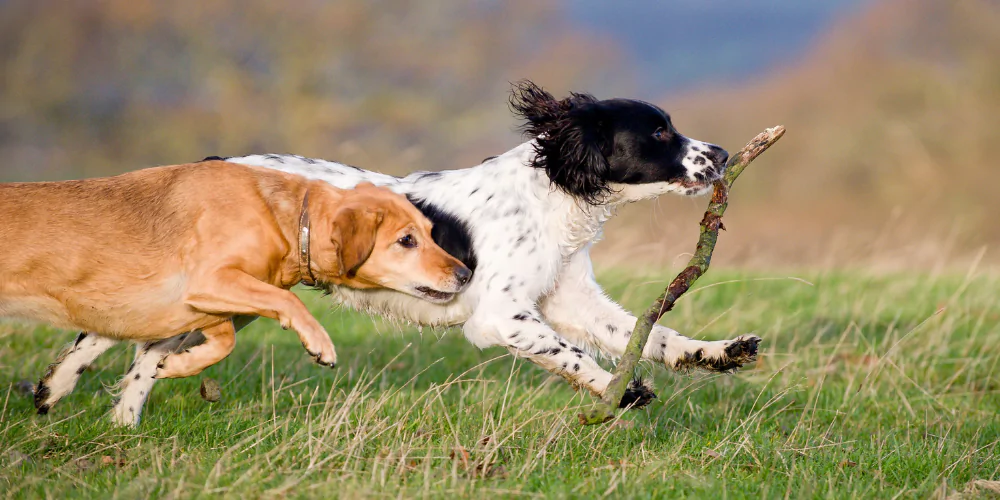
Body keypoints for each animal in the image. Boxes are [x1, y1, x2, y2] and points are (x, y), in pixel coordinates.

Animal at [1, 160, 470, 402]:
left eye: (431, 233)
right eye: (406, 240)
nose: (466, 274)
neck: (287, 218)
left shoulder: (204, 301)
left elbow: (221, 340)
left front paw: (175, 367)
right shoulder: (209, 279)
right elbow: (289, 304)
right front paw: (320, 344)